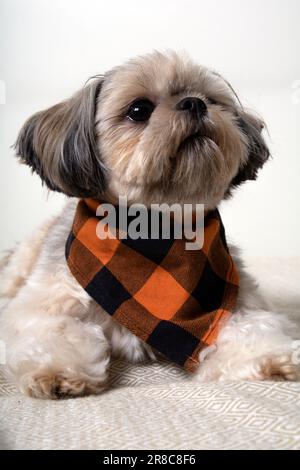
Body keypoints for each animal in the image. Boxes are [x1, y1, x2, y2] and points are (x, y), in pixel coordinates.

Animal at [0, 50, 298, 396]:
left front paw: (268, 357)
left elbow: (252, 326)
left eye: (211, 99)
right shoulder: (42, 304)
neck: (157, 233)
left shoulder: (239, 302)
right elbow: (55, 330)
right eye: (139, 110)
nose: (195, 103)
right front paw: (58, 370)